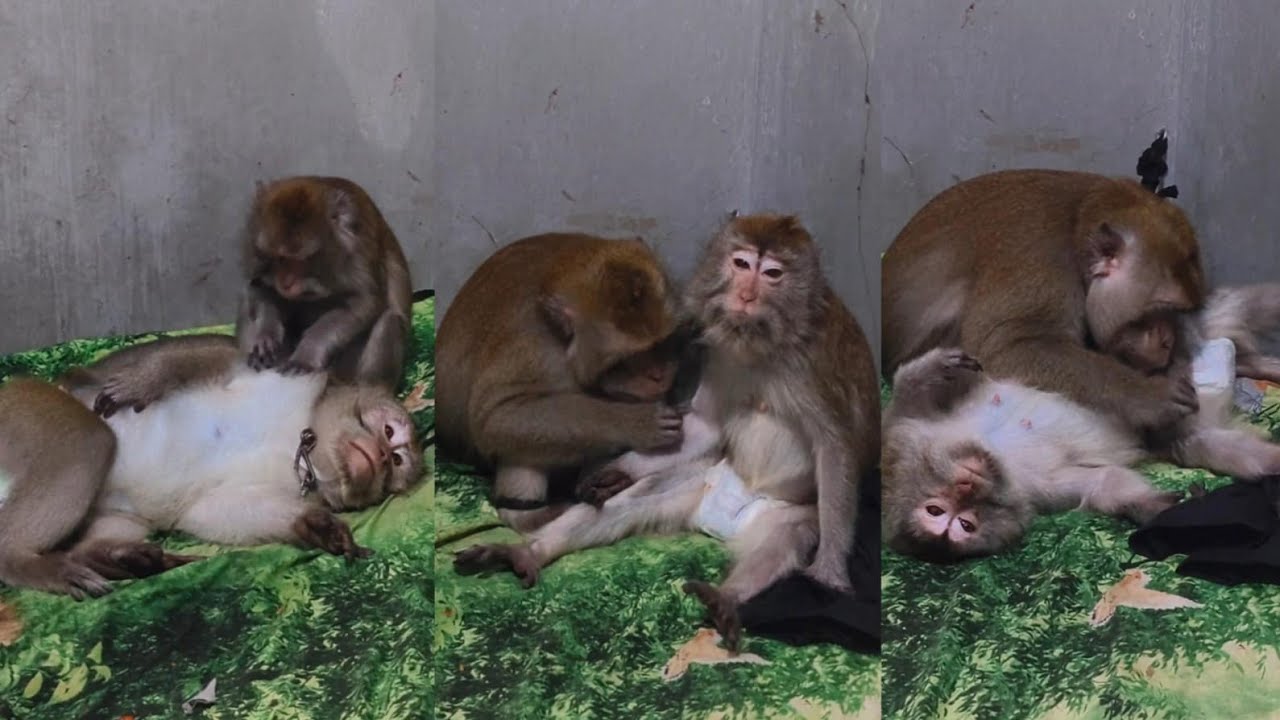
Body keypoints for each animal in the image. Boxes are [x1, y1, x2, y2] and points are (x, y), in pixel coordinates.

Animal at [0, 335, 422, 598]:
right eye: (388, 432)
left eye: (397, 461)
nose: (381, 456)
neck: (299, 439)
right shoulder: (295, 375)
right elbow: (213, 356)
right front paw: (146, 379)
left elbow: (216, 510)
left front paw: (316, 526)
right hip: (25, 411)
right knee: (90, 440)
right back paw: (21, 559)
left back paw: (114, 557)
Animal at [235, 176, 413, 390]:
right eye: (279, 258)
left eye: (302, 260)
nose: (286, 282)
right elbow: (259, 287)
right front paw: (265, 336)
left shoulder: (358, 257)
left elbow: (363, 303)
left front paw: (306, 356)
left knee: (390, 321)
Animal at [435, 232, 687, 533]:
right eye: (623, 362)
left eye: (661, 344)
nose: (659, 374)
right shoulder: (533, 350)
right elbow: (496, 418)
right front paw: (638, 423)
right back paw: (531, 515)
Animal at [881, 170, 1206, 436]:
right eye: (1162, 309)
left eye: (1181, 313)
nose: (1167, 341)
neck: (1077, 230)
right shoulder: (1042, 263)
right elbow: (1005, 346)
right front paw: (1147, 394)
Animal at [881, 347, 1182, 563]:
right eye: (966, 525)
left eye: (935, 510)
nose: (967, 487)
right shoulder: (1038, 494)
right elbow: (1102, 483)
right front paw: (1147, 505)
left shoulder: (901, 432)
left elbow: (907, 396)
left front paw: (936, 367)